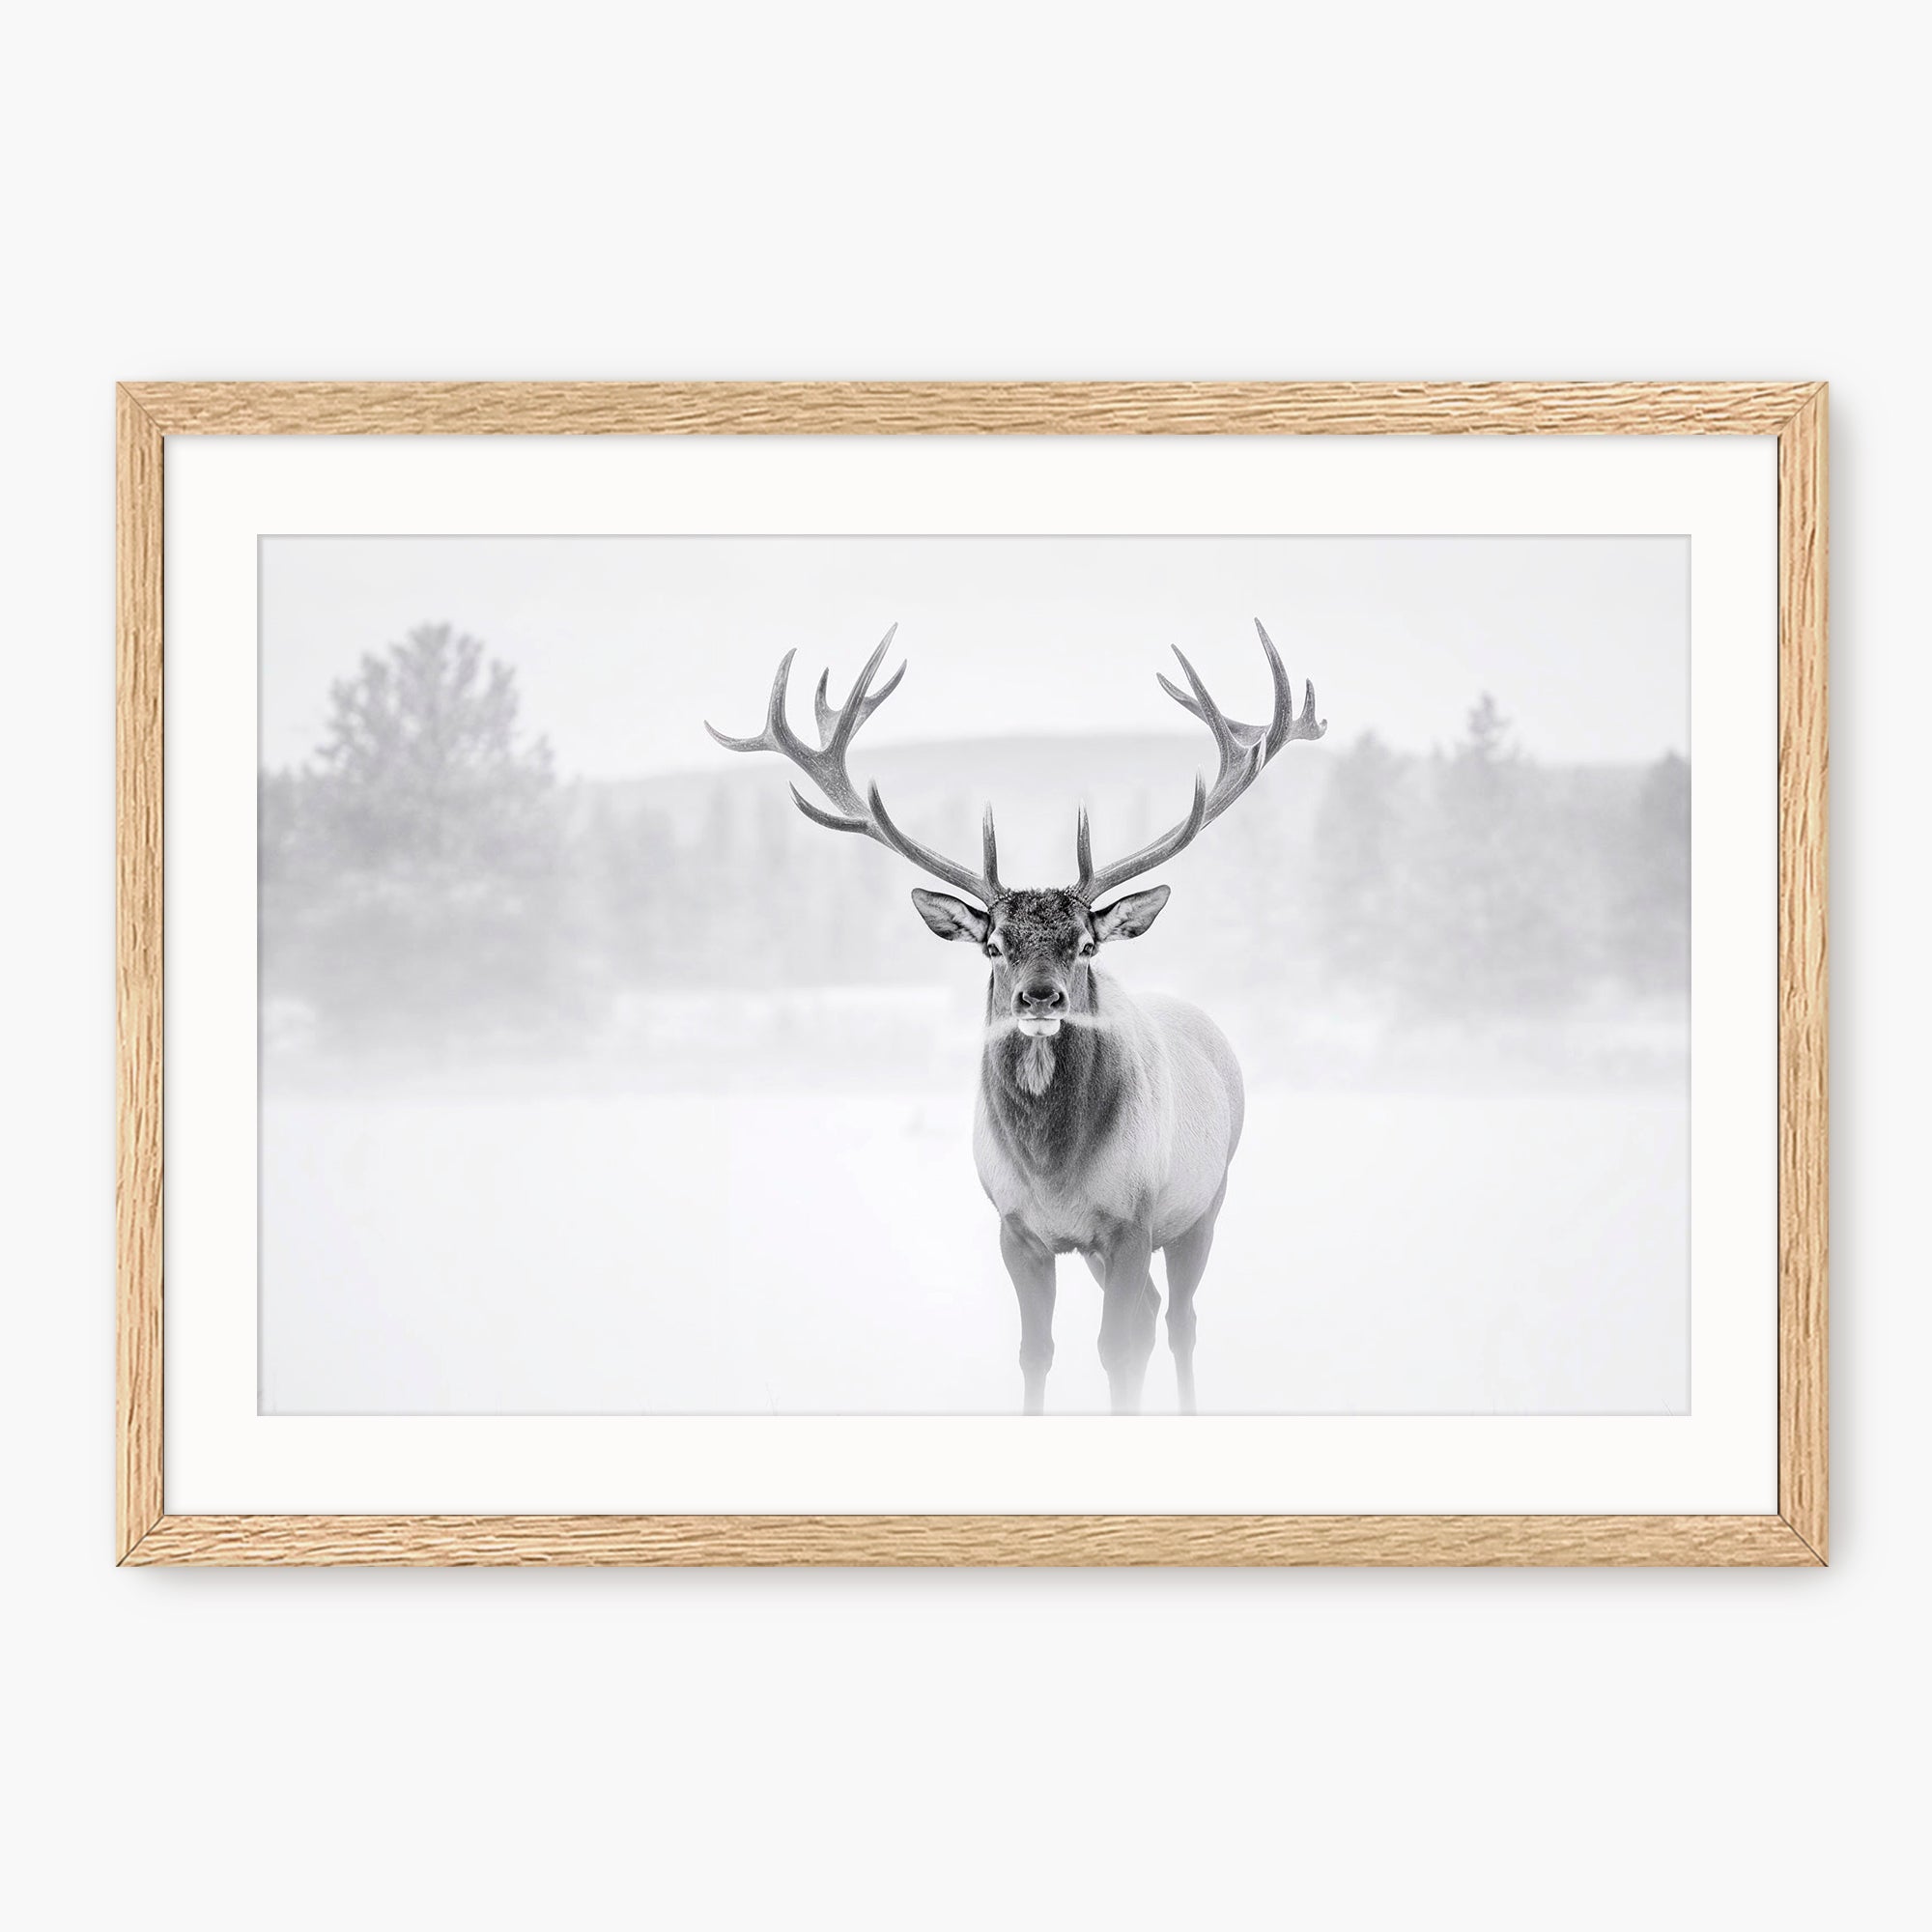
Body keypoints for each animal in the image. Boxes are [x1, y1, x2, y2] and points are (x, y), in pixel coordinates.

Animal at [706, 621, 1325, 1414]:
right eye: (994, 944)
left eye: (1085, 943)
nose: (1039, 997)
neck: (1053, 1172)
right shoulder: (1016, 1229)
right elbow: (1037, 1352)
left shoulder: (1131, 1219)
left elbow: (1118, 1351)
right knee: (1159, 1310)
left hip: (1204, 1201)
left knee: (1179, 1320)